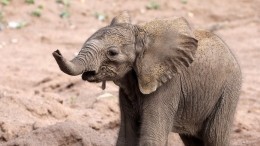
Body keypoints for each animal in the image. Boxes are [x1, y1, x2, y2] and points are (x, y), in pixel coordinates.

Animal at [52, 12, 242, 146]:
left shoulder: (169, 86)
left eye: (112, 53)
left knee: (214, 136)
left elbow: (152, 138)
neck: (142, 34)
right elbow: (127, 138)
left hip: (228, 90)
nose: (56, 51)